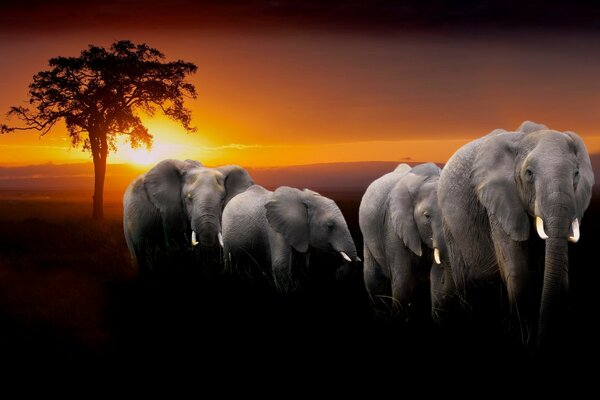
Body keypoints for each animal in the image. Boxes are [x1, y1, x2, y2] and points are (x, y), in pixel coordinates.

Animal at [221, 186, 358, 292]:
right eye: (330, 226)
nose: (338, 273)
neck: (302, 198)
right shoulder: (275, 229)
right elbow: (280, 265)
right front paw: (287, 290)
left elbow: (304, 262)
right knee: (230, 258)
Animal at [436, 120, 596, 348]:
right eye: (529, 173)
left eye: (576, 174)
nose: (540, 341)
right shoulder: (499, 202)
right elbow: (517, 269)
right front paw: (522, 337)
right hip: (450, 228)